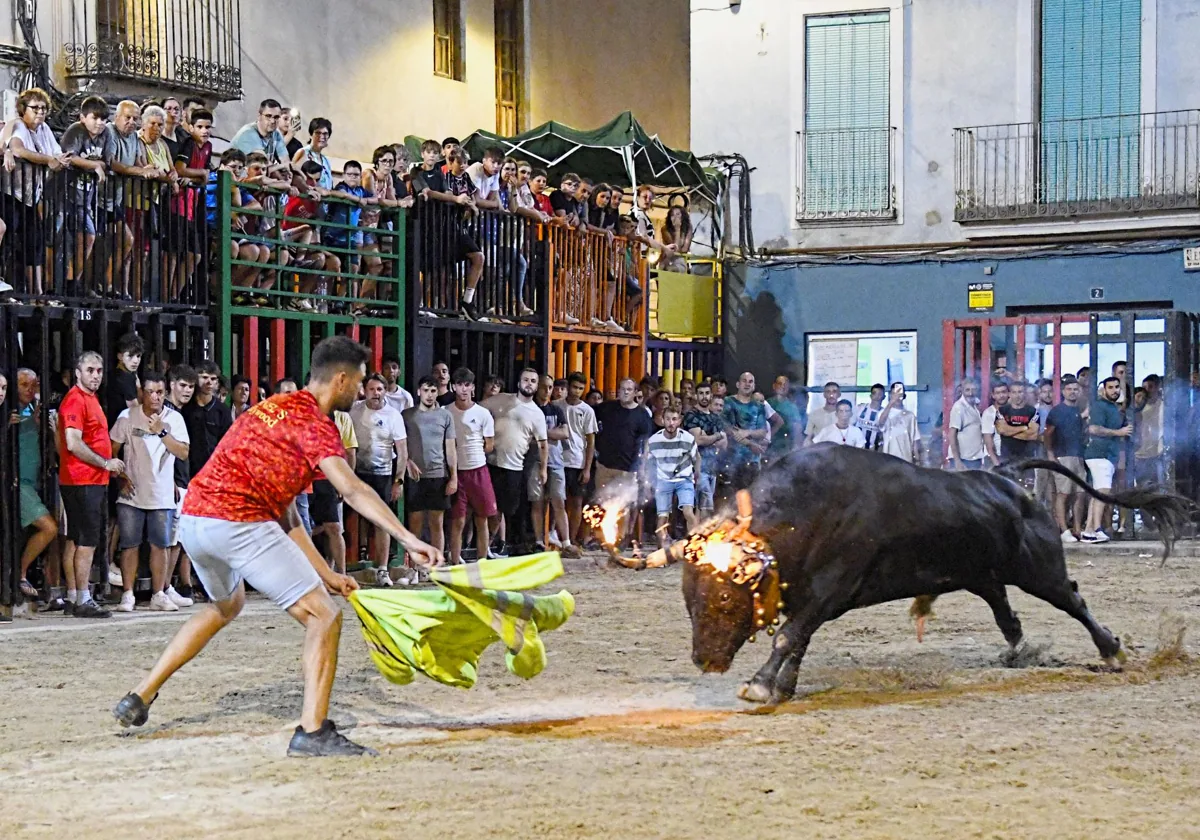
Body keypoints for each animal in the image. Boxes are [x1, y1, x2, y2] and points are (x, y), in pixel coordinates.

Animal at [681, 446, 1195, 700]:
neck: (807, 509)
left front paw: (760, 685)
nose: (704, 661)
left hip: (1038, 570)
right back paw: (1020, 652)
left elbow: (789, 636)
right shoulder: (814, 598)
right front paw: (783, 686)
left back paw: (1110, 649)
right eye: (690, 602)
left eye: (724, 597)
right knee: (1007, 614)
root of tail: (1006, 480)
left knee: (1072, 599)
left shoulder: (828, 591)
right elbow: (798, 638)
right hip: (982, 575)